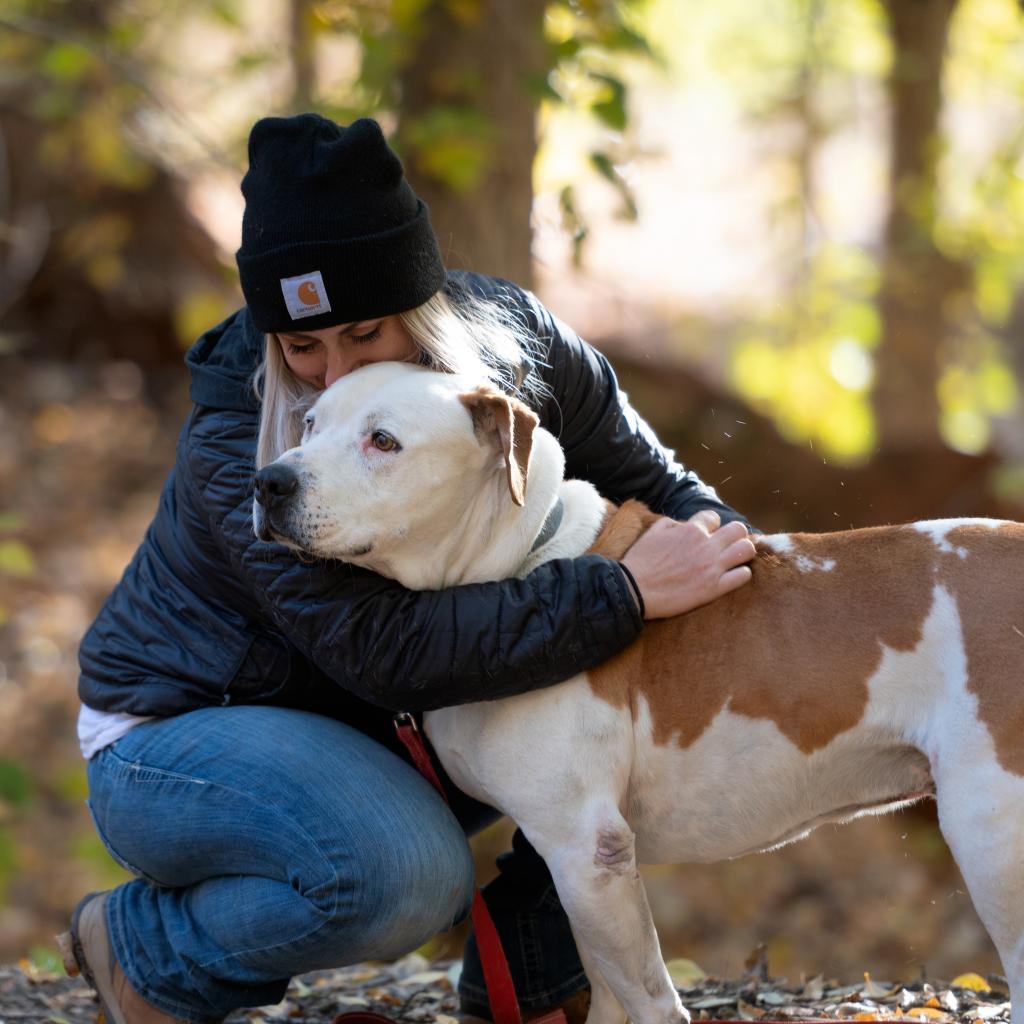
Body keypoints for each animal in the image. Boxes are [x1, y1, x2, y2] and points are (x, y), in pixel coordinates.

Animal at [253, 364, 1024, 1024]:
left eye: (383, 440)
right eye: (310, 424)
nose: (268, 481)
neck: (520, 565)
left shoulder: (586, 848)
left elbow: (649, 997)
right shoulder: (583, 869)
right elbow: (609, 991)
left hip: (991, 827)